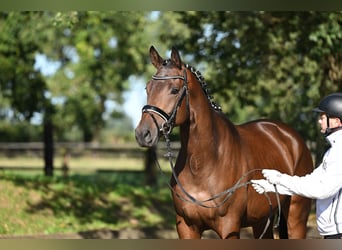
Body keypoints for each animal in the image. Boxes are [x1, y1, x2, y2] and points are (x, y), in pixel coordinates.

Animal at [135, 45, 314, 238]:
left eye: (174, 90)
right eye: (147, 88)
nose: (143, 133)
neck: (203, 162)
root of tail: (291, 137)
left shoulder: (229, 226)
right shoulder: (186, 226)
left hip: (296, 218)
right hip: (262, 220)